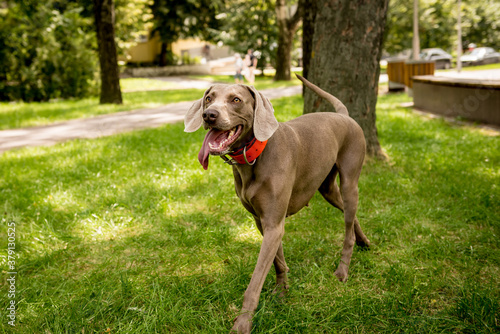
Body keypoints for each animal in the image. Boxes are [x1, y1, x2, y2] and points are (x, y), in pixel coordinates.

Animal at [184, 74, 368, 332]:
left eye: (236, 100)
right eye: (209, 98)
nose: (208, 115)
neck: (253, 157)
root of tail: (343, 115)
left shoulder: (274, 223)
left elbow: (255, 282)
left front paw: (243, 323)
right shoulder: (263, 222)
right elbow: (278, 261)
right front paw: (282, 292)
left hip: (350, 180)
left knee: (348, 227)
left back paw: (342, 270)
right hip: (327, 189)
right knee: (350, 215)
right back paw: (364, 241)